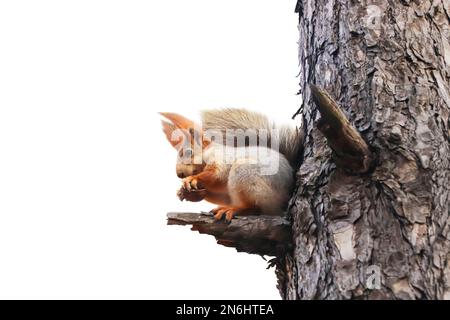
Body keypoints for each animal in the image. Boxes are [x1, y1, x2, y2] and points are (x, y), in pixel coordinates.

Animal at [160, 109, 304, 221]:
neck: (208, 151)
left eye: (188, 152)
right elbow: (219, 193)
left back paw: (233, 210)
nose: (179, 174)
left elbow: (216, 175)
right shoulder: (224, 192)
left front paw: (192, 179)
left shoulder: (221, 159)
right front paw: (191, 194)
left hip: (247, 173)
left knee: (255, 208)